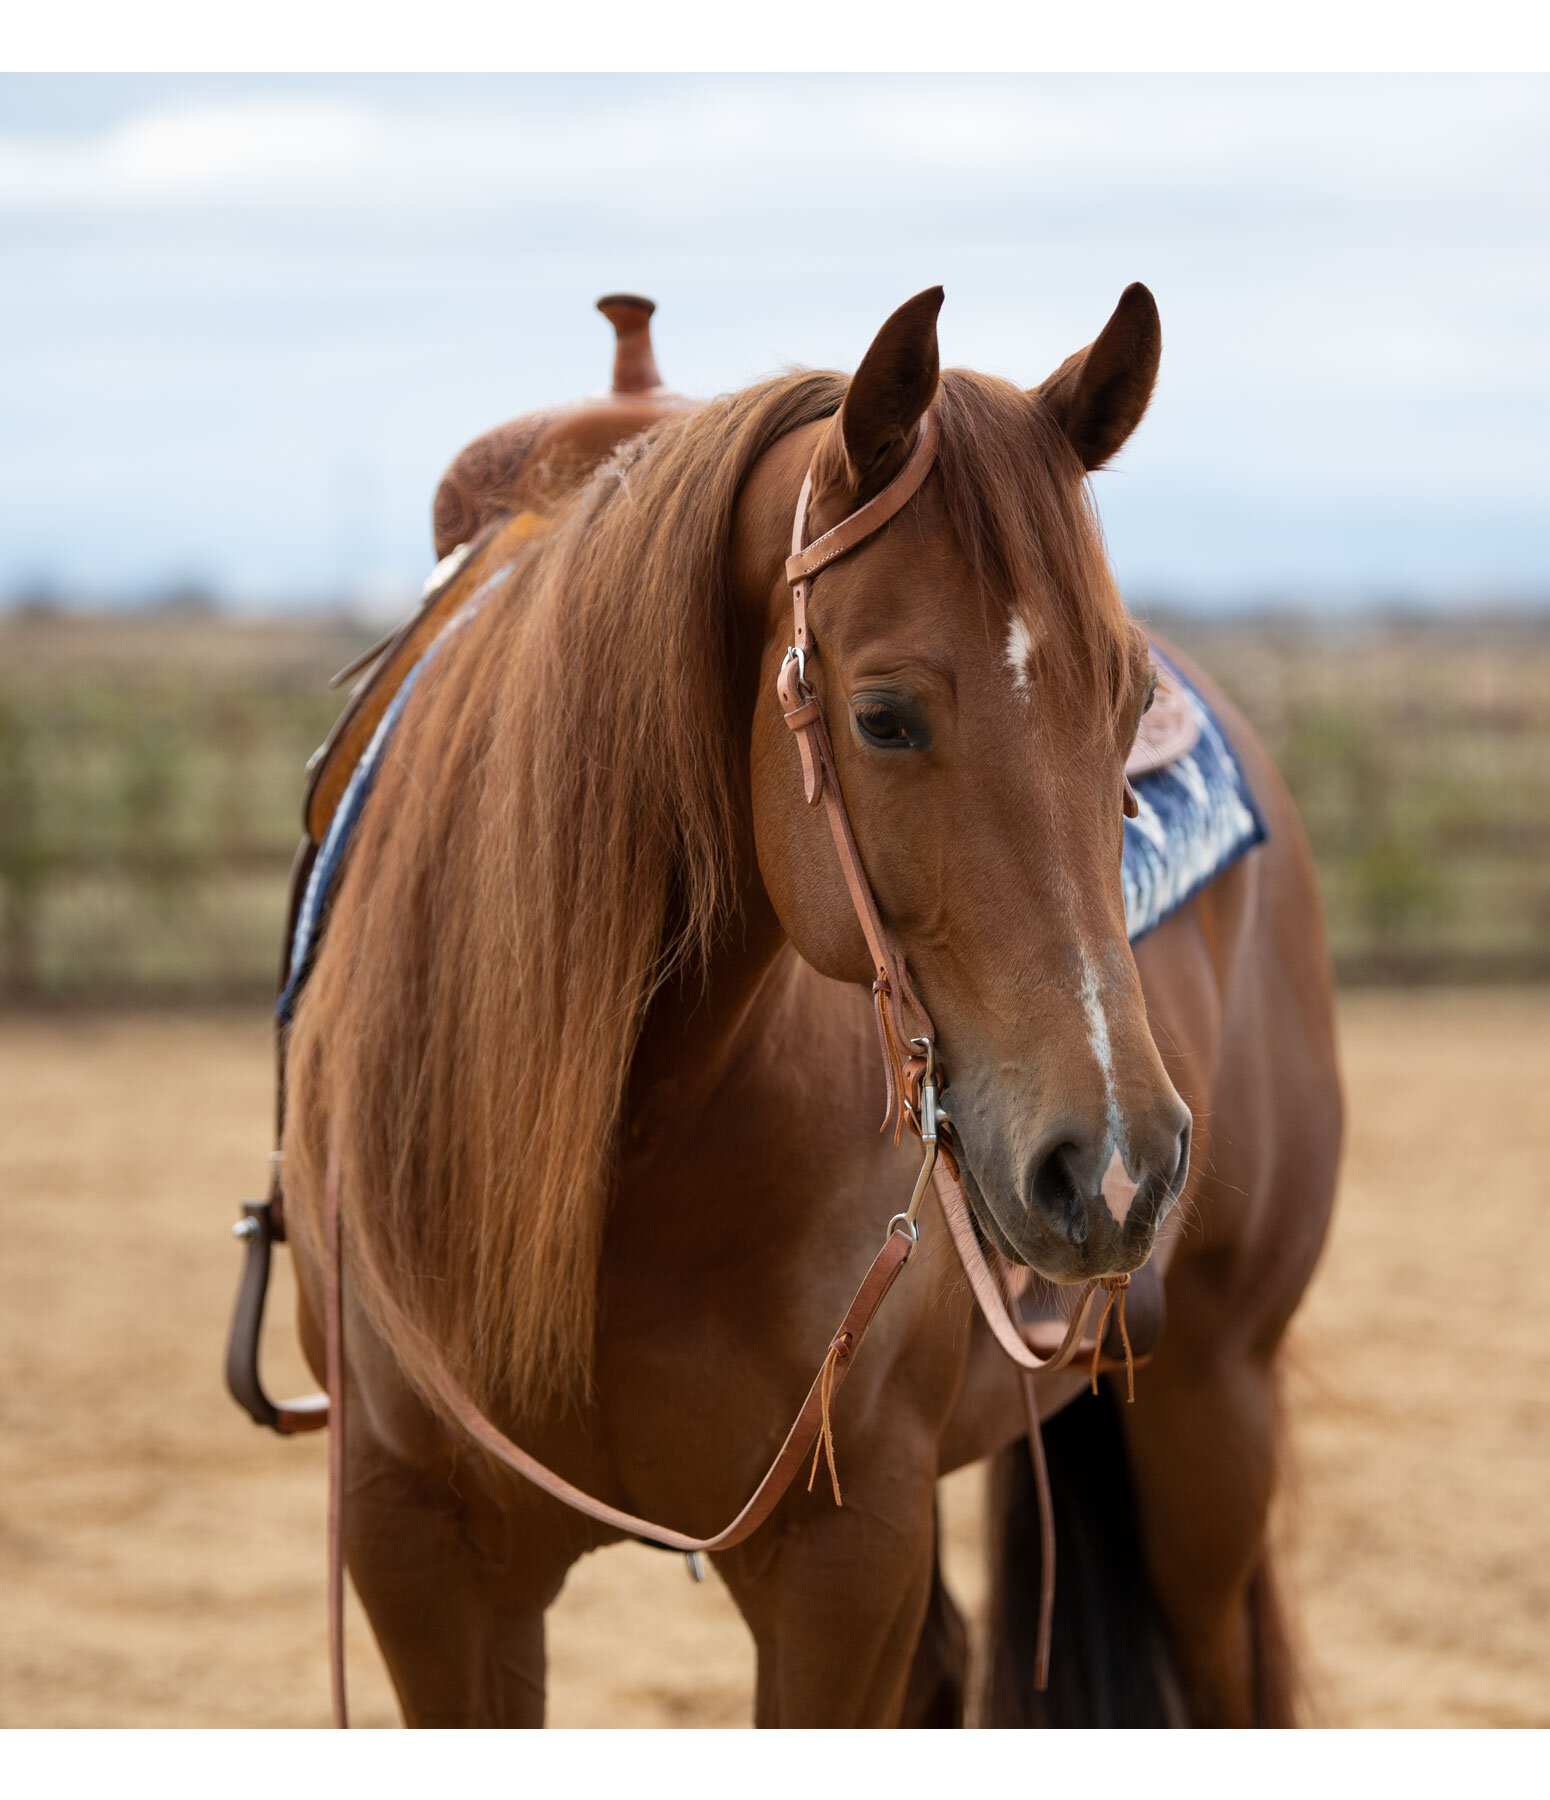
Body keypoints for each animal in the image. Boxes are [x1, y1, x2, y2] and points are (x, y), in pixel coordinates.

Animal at [279, 284, 1339, 1728]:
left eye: (1127, 704)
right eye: (882, 718)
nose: (1115, 1165)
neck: (629, 1146)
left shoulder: (845, 1547)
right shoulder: (417, 1548)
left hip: (1211, 1412)